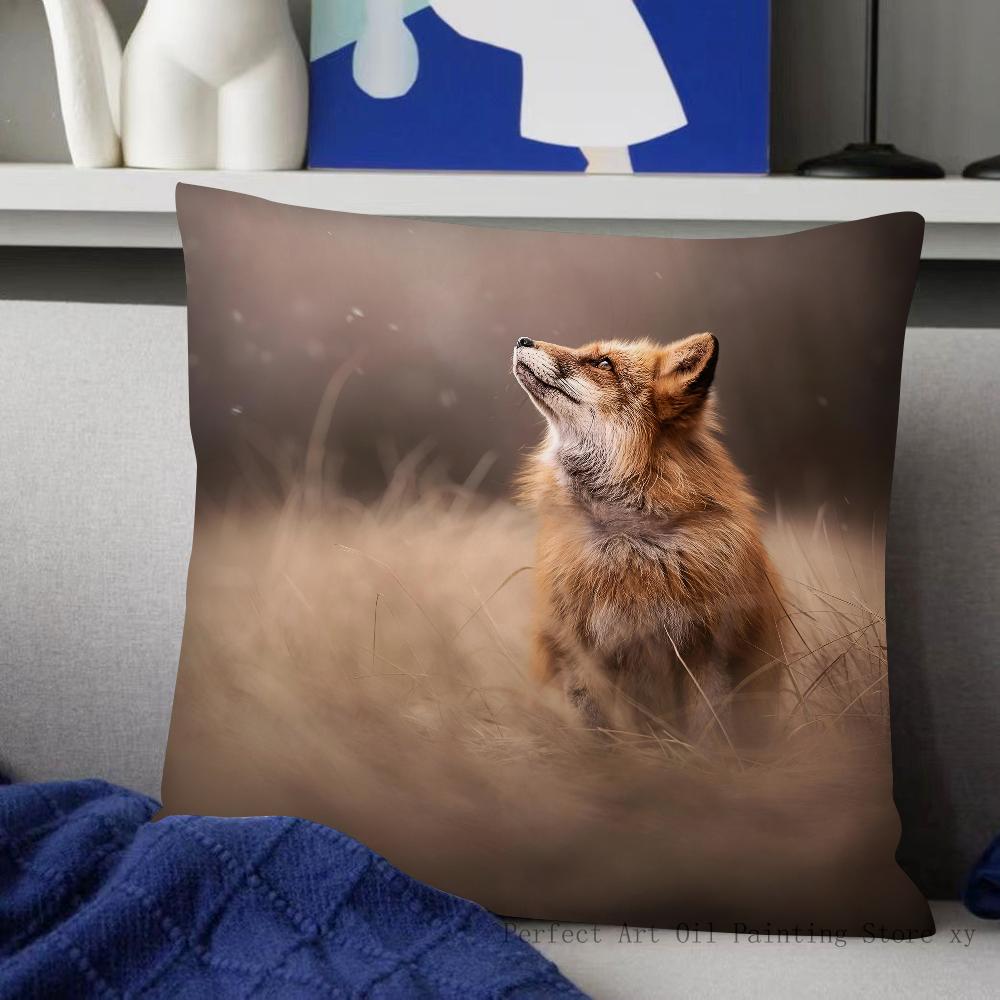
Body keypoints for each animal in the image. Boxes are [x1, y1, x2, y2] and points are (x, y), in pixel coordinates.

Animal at [513, 333, 783, 743]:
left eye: (603, 363)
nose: (522, 339)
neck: (628, 544)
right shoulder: (578, 652)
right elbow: (598, 733)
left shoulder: (706, 648)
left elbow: (709, 732)